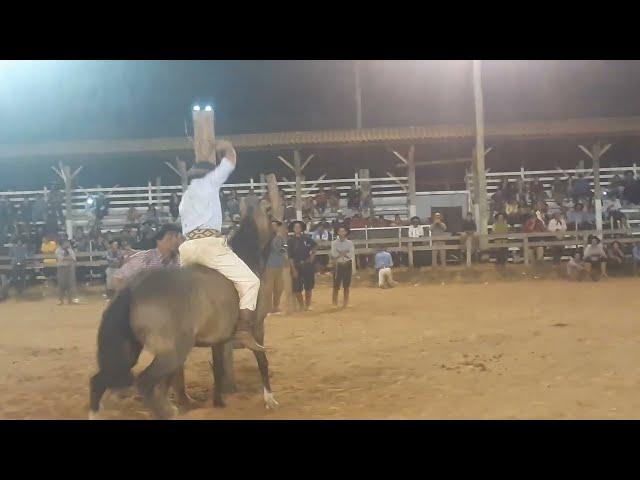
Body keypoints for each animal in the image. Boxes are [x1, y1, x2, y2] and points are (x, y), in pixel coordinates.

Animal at [89, 197, 278, 418]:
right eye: (269, 211)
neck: (247, 258)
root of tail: (133, 288)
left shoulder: (218, 341)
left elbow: (218, 369)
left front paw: (219, 403)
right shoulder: (257, 327)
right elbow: (262, 361)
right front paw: (269, 399)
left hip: (130, 350)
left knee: (100, 381)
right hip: (172, 352)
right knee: (144, 382)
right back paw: (167, 411)